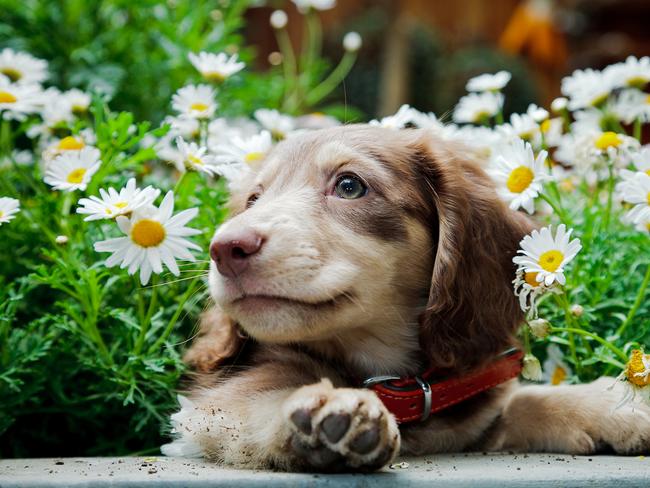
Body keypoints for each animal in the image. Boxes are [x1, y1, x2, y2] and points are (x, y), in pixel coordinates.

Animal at [163, 127, 648, 470]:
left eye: (350, 185)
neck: (393, 380)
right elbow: (266, 394)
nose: (225, 249)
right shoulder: (213, 406)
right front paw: (326, 410)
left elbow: (526, 400)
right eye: (253, 200)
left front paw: (615, 406)